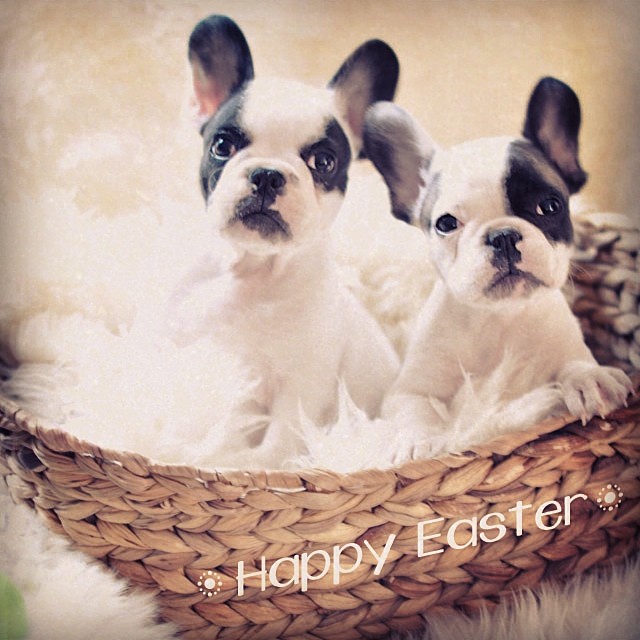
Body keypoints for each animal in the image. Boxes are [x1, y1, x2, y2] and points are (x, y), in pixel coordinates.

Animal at [170, 16, 400, 456]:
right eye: (222, 145)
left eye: (323, 162)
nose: (267, 174)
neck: (252, 268)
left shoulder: (300, 387)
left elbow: (278, 442)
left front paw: (251, 464)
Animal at [362, 77, 632, 450]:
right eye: (446, 223)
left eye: (550, 206)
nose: (502, 235)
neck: (498, 318)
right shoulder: (409, 389)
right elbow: (417, 409)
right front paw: (421, 441)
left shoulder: (565, 347)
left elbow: (574, 364)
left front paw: (591, 379)